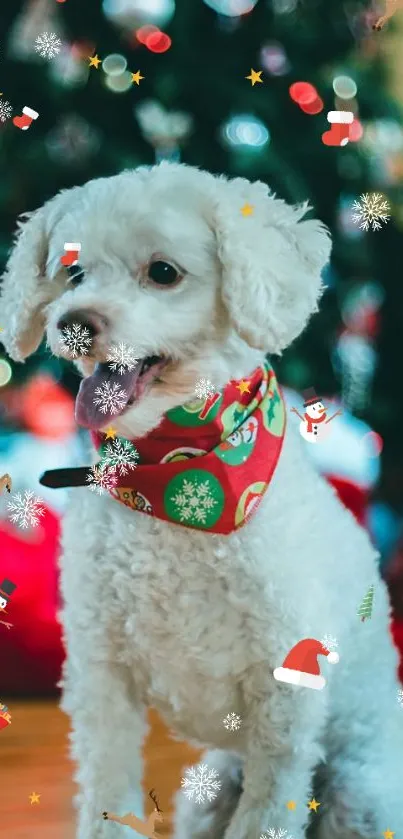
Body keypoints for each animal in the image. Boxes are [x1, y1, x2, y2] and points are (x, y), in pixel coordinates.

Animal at [1, 161, 402, 836]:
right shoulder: (101, 673)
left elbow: (267, 815)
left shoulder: (285, 699)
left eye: (163, 272)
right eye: (73, 273)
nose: (74, 323)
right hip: (206, 794)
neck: (177, 481)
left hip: (360, 790)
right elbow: (108, 790)